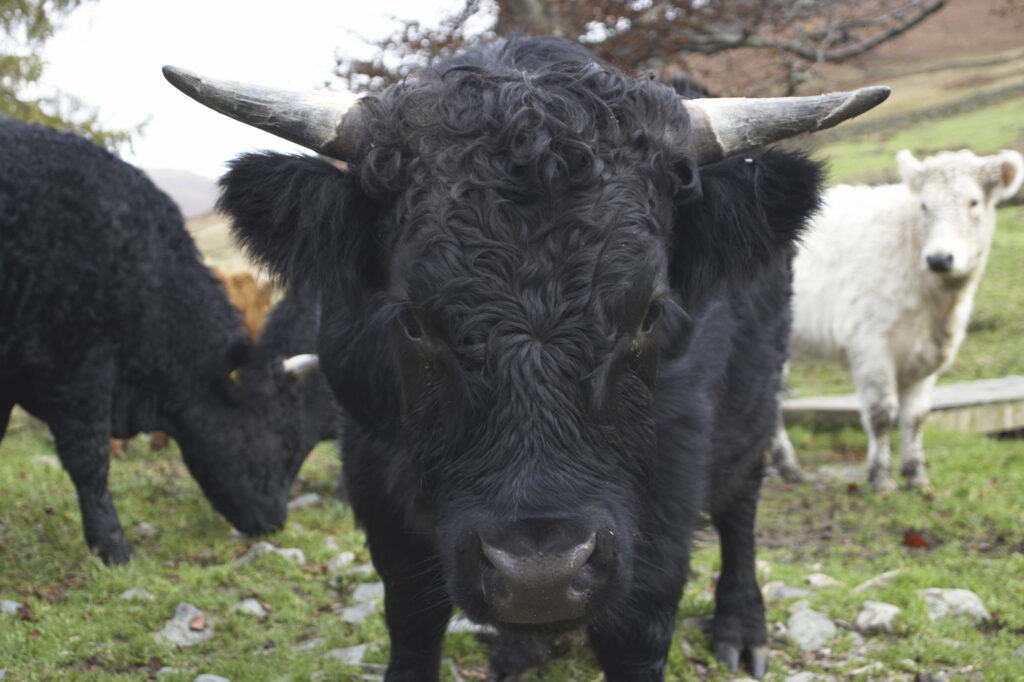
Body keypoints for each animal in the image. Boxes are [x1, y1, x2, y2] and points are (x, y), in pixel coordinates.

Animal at [165, 36, 886, 679]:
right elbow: (413, 618)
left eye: (650, 312)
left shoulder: (670, 484)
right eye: (412, 319)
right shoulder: (372, 468)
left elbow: (637, 627)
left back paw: (740, 628)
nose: (541, 575)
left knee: (741, 507)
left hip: (754, 402)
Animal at [770, 148, 1024, 492]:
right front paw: (881, 478)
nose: (940, 258)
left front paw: (916, 477)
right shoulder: (870, 346)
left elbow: (915, 416)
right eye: (924, 205)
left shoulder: (926, 356)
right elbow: (882, 414)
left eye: (973, 202)